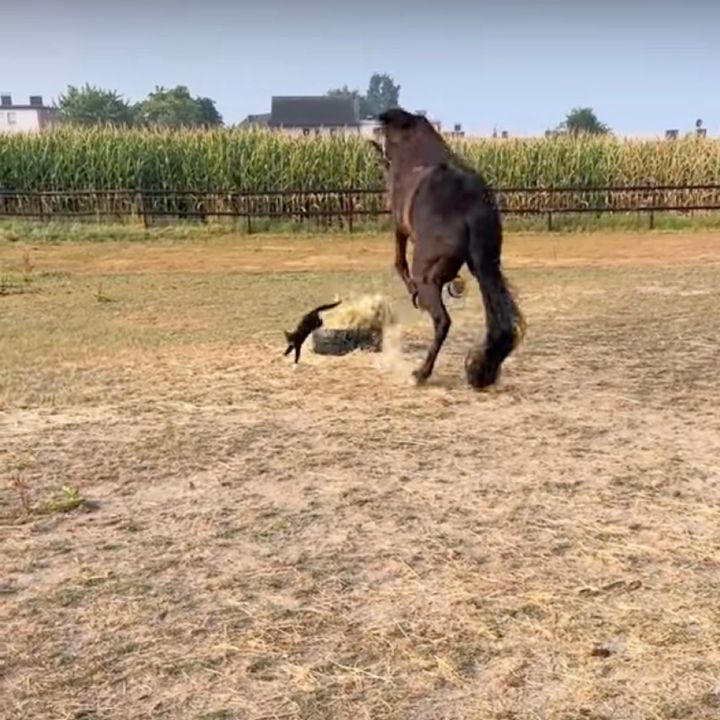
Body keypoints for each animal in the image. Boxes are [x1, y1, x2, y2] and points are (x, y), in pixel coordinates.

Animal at [370, 107, 525, 389]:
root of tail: (470, 209)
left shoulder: (399, 225)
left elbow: (399, 260)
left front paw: (410, 288)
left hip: (429, 276)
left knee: (442, 321)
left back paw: (421, 372)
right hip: (486, 266)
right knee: (500, 322)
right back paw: (481, 369)